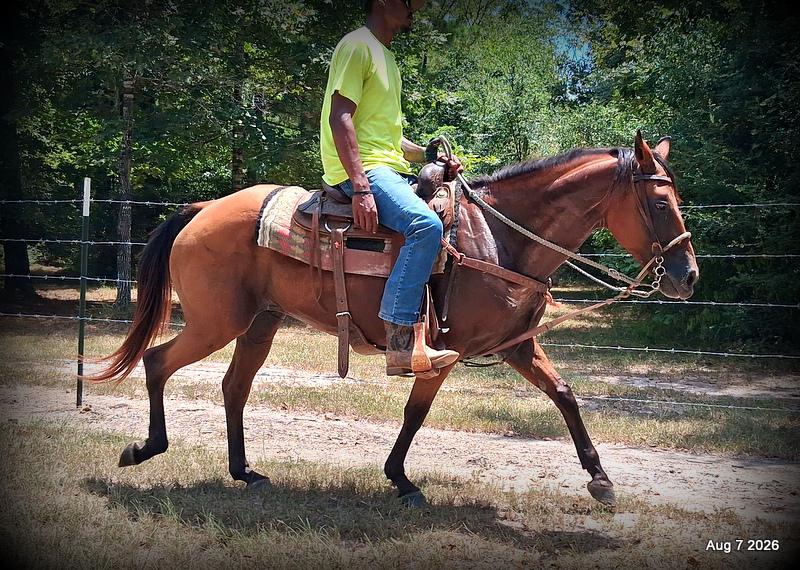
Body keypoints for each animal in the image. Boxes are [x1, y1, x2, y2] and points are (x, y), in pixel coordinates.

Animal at [88, 131, 698, 507]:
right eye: (660, 203)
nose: (688, 275)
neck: (499, 238)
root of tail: (202, 210)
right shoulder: (444, 351)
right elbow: (415, 414)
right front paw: (401, 481)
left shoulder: (516, 346)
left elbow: (566, 395)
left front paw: (600, 479)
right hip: (216, 322)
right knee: (157, 361)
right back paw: (145, 449)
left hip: (259, 323)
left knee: (233, 386)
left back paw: (244, 471)